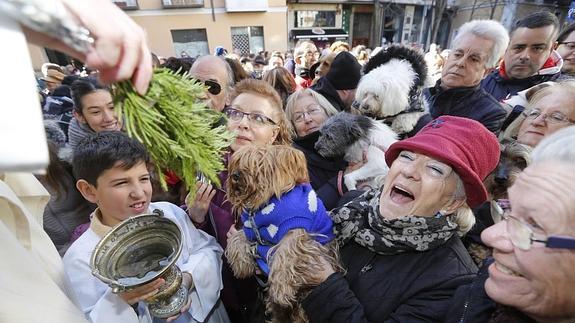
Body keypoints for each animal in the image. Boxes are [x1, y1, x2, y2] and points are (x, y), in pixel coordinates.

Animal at [224, 146, 342, 322]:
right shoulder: (251, 228)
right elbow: (237, 237)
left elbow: (285, 255)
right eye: (238, 162)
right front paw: (241, 265)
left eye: (258, 164)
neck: (266, 204)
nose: (235, 175)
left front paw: (281, 289)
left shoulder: (296, 229)